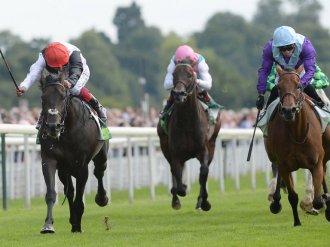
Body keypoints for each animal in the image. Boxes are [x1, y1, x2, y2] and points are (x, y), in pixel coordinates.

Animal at [38, 70, 108, 233]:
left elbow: (79, 198)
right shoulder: (50, 159)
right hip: (64, 169)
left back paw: (101, 199)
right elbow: (51, 193)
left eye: (63, 97)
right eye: (43, 98)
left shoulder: (81, 166)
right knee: (69, 191)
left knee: (99, 172)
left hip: (101, 155)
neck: (67, 131)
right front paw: (48, 225)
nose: (53, 127)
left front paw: (77, 225)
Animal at [157, 59, 222, 210]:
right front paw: (180, 191)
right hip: (164, 146)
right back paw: (175, 200)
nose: (178, 94)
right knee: (173, 171)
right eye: (174, 74)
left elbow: (203, 172)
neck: (187, 122)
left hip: (212, 144)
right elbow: (177, 177)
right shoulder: (175, 153)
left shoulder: (203, 150)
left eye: (190, 75)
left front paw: (204, 202)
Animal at [266, 65, 330, 226]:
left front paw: (314, 205)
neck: (297, 134)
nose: (289, 110)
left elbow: (318, 199)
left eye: (299, 86)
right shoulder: (283, 164)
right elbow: (292, 196)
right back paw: (275, 200)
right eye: (279, 87)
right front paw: (297, 222)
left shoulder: (316, 162)